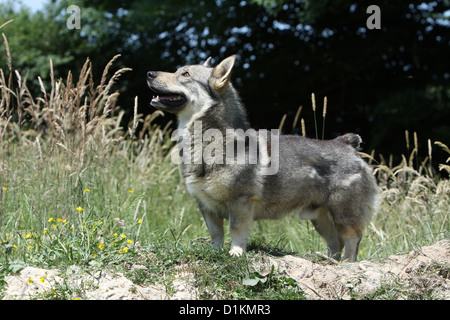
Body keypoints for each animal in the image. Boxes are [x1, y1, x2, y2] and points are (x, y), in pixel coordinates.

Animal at [148, 54, 380, 260]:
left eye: (185, 74)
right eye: (178, 70)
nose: (149, 73)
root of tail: (345, 143)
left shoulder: (240, 202)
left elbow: (236, 231)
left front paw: (236, 252)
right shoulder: (206, 206)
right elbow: (216, 234)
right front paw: (214, 252)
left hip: (344, 215)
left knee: (352, 240)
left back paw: (347, 264)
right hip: (319, 218)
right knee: (335, 243)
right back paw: (329, 261)